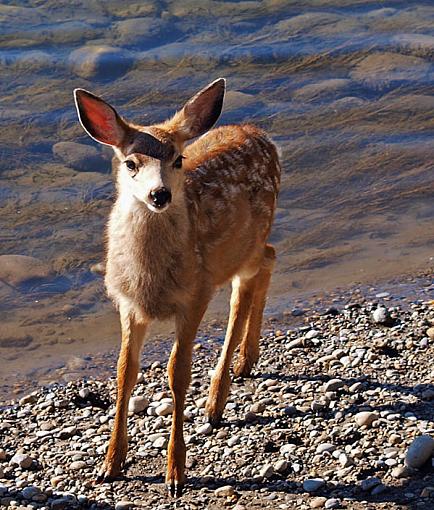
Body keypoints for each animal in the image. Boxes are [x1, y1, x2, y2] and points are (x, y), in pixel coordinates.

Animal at [73, 77, 280, 496]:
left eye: (178, 160)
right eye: (131, 163)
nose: (160, 194)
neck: (149, 280)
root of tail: (259, 133)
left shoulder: (194, 295)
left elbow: (177, 372)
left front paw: (175, 472)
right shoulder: (127, 303)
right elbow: (125, 371)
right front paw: (110, 463)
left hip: (240, 249)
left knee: (245, 290)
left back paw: (217, 399)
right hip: (244, 250)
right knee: (269, 259)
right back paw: (247, 361)